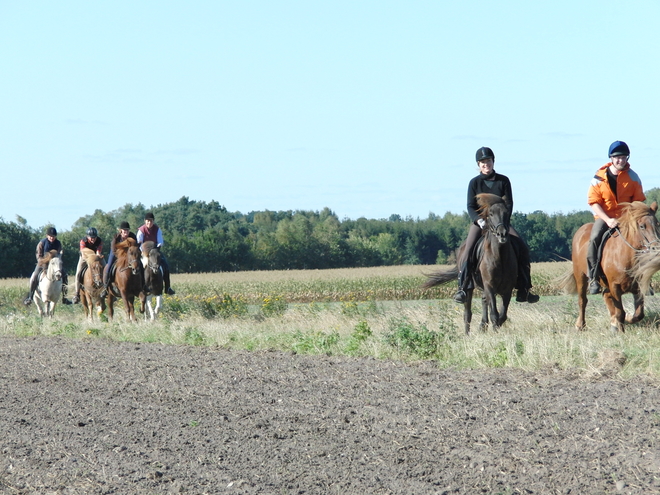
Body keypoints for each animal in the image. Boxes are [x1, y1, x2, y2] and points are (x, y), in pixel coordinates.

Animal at [422, 192, 520, 336]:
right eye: (491, 214)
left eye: (507, 212)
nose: (502, 234)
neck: (500, 257)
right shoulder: (489, 286)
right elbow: (494, 314)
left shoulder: (507, 289)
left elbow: (502, 315)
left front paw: (494, 329)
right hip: (468, 288)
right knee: (467, 313)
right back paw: (468, 334)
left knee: (484, 303)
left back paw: (482, 326)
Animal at [556, 201, 660, 334]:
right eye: (642, 226)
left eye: (657, 224)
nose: (656, 248)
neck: (625, 255)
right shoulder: (615, 285)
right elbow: (620, 312)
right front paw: (620, 329)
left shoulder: (637, 286)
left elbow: (638, 314)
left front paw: (625, 320)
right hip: (580, 276)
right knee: (582, 300)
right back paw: (580, 325)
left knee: (606, 296)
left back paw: (613, 322)